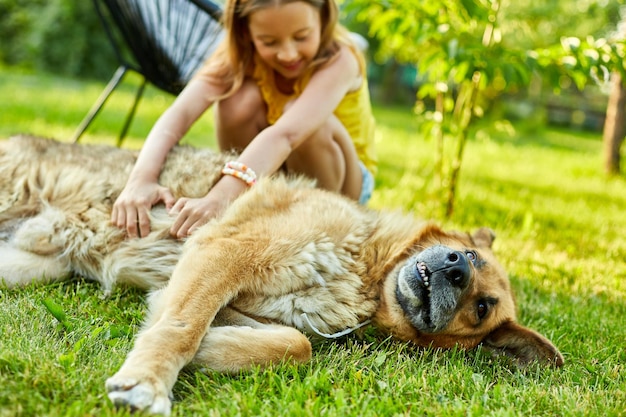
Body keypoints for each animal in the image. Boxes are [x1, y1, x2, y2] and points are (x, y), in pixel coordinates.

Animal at [0, 135, 564, 414]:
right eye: (471, 256)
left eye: (482, 307)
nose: (455, 268)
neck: (365, 269)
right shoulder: (223, 254)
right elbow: (180, 329)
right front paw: (149, 381)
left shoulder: (222, 294)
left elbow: (294, 344)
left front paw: (210, 351)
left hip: (28, 265)